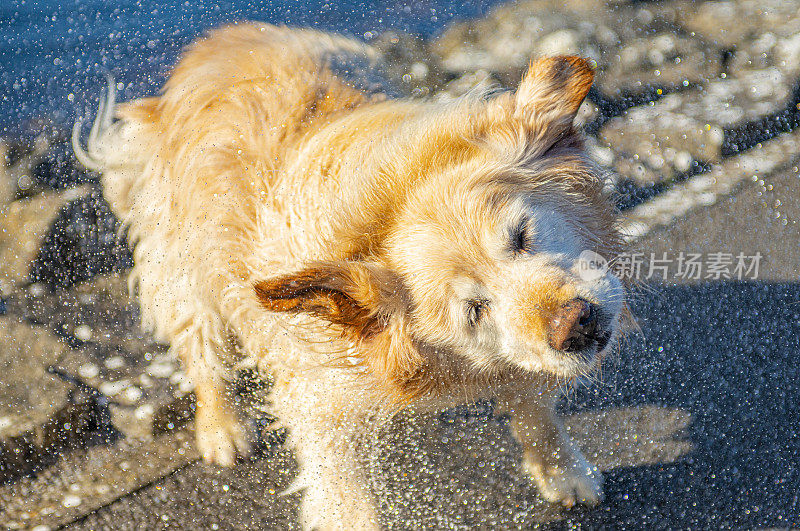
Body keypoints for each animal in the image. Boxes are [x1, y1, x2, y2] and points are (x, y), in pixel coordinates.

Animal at [73, 22, 624, 528]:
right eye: (474, 310)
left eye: (521, 236)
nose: (576, 323)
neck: (382, 210)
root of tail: (213, 41)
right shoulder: (317, 396)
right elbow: (341, 490)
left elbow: (536, 409)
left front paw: (563, 471)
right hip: (185, 270)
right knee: (202, 353)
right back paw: (222, 430)